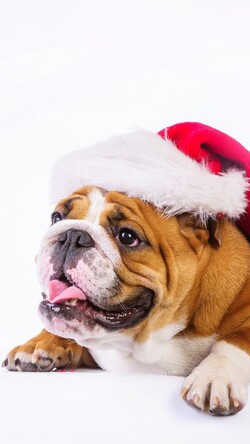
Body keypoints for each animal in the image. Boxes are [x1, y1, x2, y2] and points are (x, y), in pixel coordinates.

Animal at [2, 186, 250, 414]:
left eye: (127, 237)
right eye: (57, 217)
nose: (71, 235)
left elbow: (235, 339)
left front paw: (216, 375)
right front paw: (38, 344)